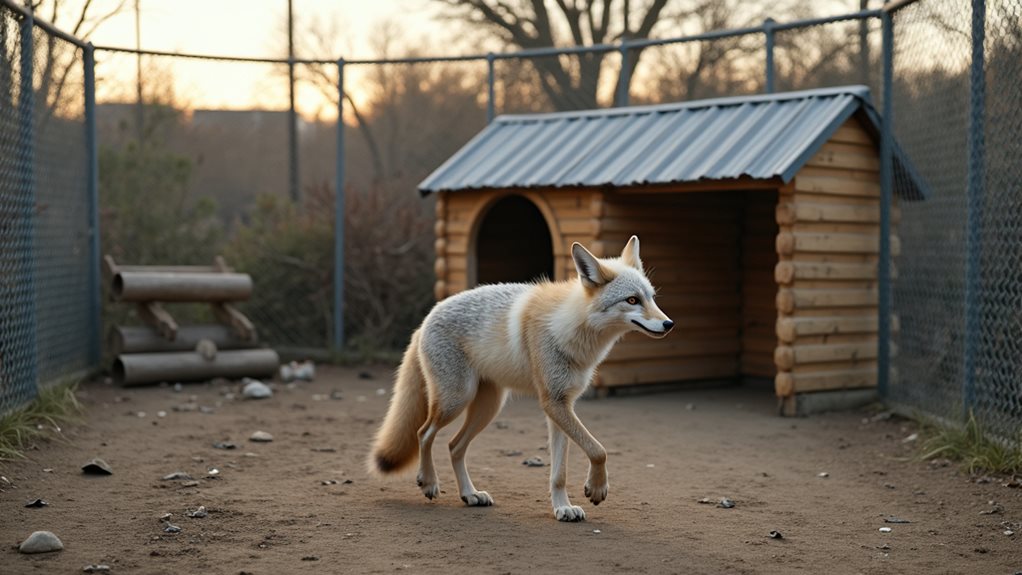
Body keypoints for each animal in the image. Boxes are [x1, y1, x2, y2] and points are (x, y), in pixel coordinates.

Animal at [369, 235, 673, 522]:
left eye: (652, 297)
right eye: (632, 300)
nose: (669, 324)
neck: (571, 327)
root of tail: (425, 320)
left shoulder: (562, 406)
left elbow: (560, 473)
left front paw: (562, 508)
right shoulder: (553, 403)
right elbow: (599, 450)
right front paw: (596, 489)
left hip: (487, 409)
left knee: (453, 446)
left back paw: (469, 494)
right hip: (455, 401)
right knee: (424, 433)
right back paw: (429, 482)